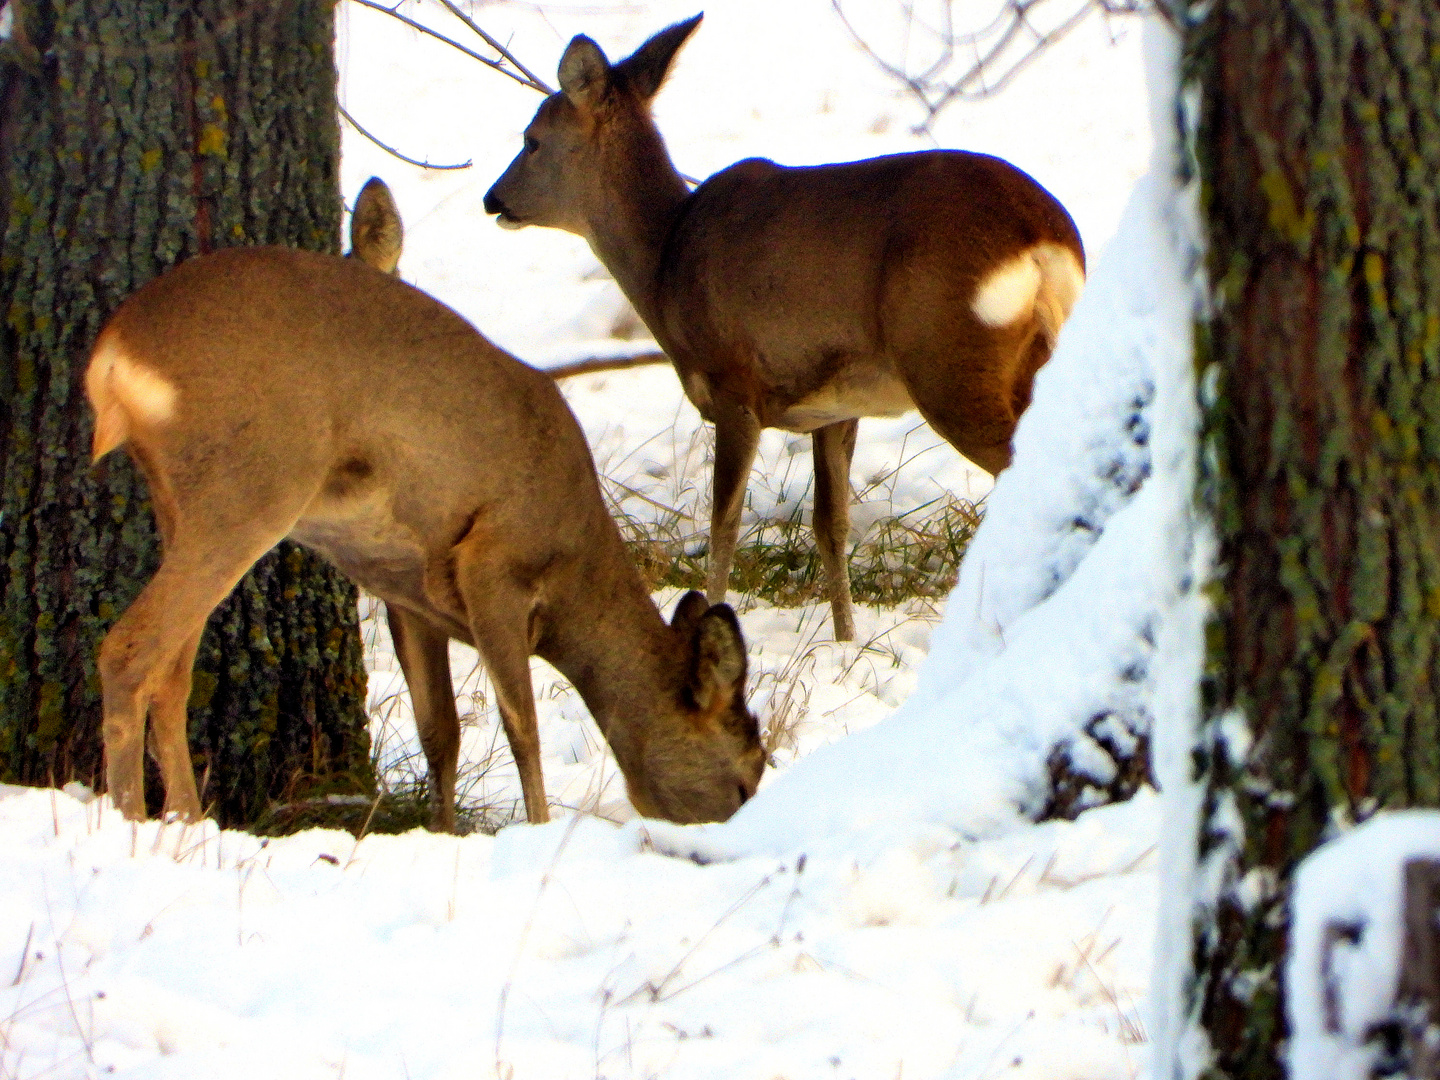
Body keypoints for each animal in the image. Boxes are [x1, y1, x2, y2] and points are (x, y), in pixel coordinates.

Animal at [85, 182, 766, 835]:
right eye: (747, 776)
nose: (733, 836)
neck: (575, 563)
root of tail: (112, 354)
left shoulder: (408, 593)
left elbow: (440, 731)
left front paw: (442, 833)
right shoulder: (495, 561)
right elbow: (521, 726)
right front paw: (536, 829)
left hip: (180, 498)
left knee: (171, 672)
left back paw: (187, 823)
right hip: (250, 487)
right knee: (128, 650)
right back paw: (132, 824)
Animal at [480, 12, 1082, 642]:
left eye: (531, 139)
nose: (493, 199)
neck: (665, 261)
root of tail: (1042, 236)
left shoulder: (734, 386)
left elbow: (723, 523)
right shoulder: (833, 407)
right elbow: (830, 525)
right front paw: (846, 642)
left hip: (948, 359)